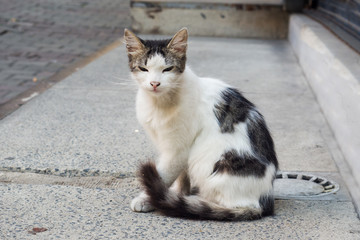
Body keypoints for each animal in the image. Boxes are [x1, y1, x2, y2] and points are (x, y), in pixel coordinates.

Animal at [124, 28, 278, 221]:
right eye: (144, 69)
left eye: (167, 69)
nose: (154, 83)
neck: (159, 103)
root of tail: (264, 202)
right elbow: (182, 177)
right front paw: (178, 194)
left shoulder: (178, 149)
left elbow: (164, 175)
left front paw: (147, 199)